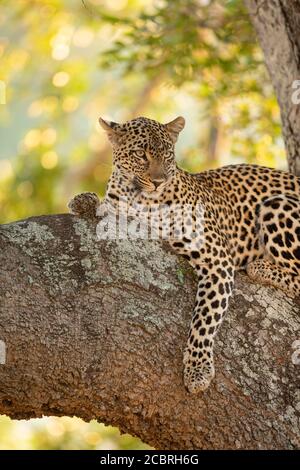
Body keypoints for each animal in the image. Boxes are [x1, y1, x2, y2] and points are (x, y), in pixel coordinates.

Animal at [68, 115, 300, 394]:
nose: (158, 181)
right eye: (140, 154)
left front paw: (197, 370)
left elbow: (205, 318)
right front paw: (85, 201)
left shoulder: (217, 261)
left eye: (167, 154)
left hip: (277, 204)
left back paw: (260, 268)